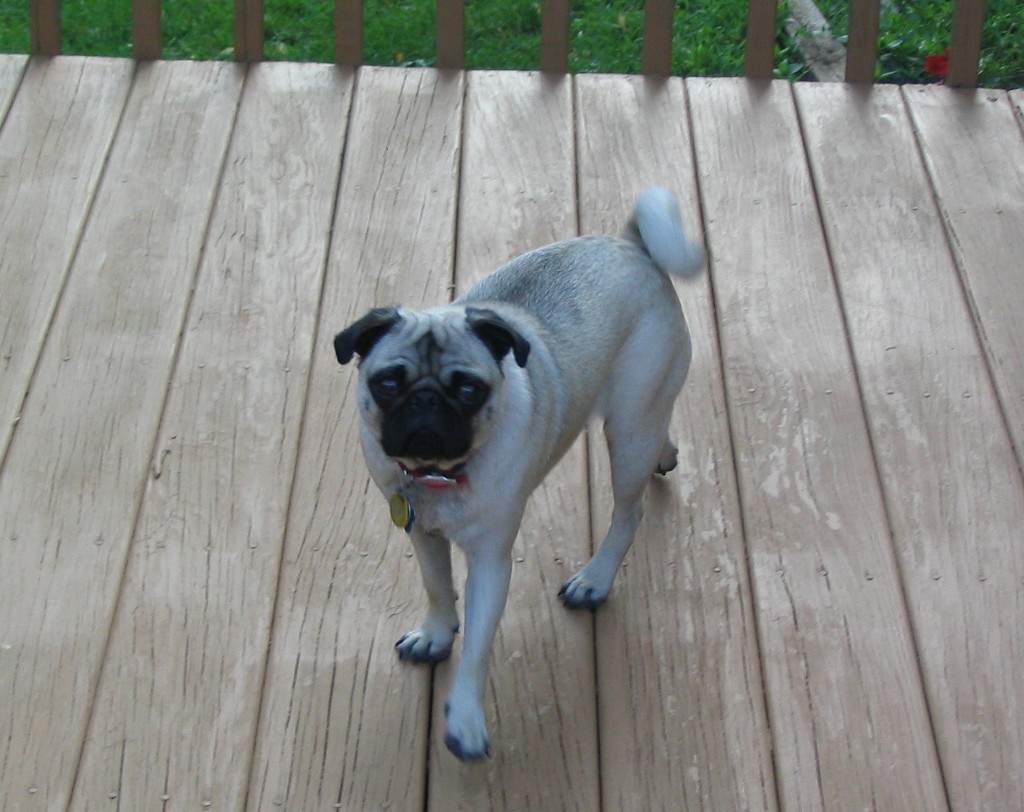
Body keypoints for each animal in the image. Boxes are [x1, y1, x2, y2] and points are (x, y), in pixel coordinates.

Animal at [335, 188, 704, 761]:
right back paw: (664, 453)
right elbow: (437, 587)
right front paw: (436, 633)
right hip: (643, 417)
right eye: (388, 383)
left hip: (628, 429)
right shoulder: (422, 534)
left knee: (630, 510)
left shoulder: (491, 562)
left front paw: (465, 717)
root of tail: (632, 246)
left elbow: (477, 648)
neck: (439, 477)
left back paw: (595, 579)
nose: (425, 402)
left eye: (469, 389)